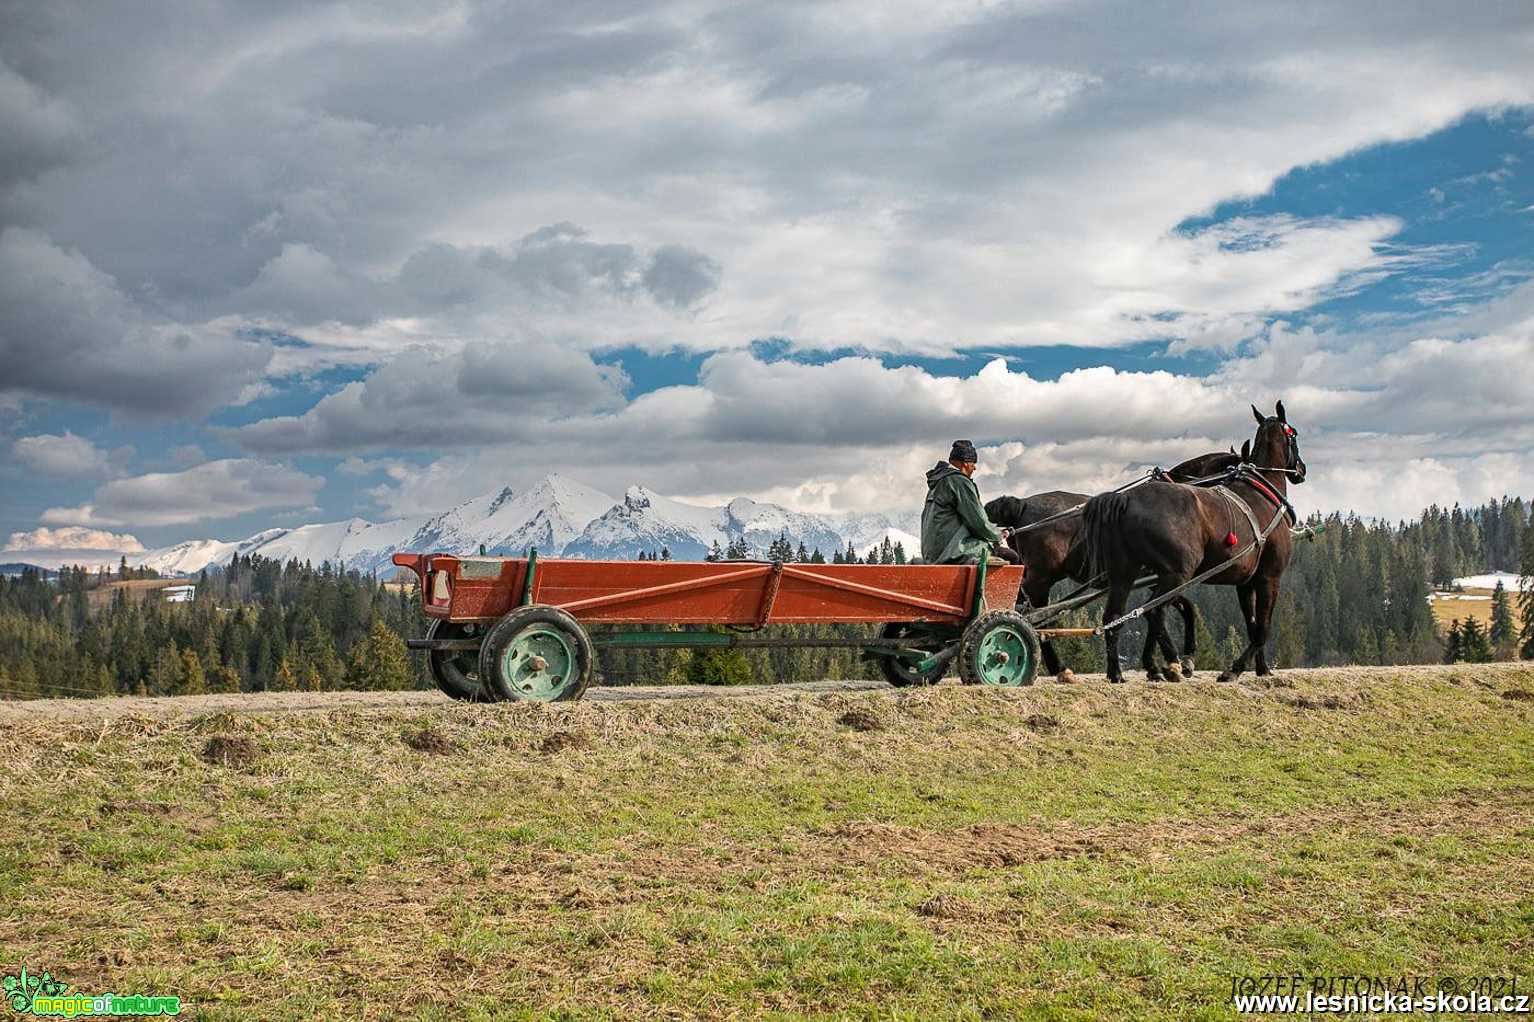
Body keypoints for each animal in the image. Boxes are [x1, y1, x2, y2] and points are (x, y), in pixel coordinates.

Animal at [981, 451, 1245, 681]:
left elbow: (1168, 613)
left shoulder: (1157, 580)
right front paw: (1178, 662)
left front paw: (1154, 667)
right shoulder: (1167, 576)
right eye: (1234, 470)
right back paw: (1059, 668)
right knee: (1036, 620)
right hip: (1040, 579)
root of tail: (1022, 504)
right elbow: (1176, 611)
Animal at [1079, 402, 1306, 681]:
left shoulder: (1245, 582)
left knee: (1115, 616)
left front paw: (1262, 669)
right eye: (1294, 434)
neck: (1262, 494)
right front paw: (1235, 668)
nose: (1301, 470)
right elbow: (1262, 628)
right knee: (1154, 612)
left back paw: (1117, 672)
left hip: (1125, 574)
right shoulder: (1269, 578)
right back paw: (1171, 662)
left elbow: (1252, 626)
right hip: (1177, 573)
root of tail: (1126, 499)